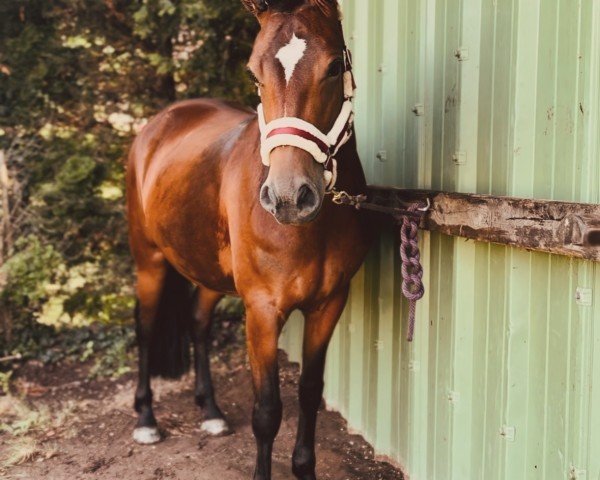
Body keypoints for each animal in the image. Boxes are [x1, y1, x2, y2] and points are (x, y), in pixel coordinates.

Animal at [125, 1, 376, 478]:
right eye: (253, 74)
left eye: (334, 67)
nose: (288, 197)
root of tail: (161, 122)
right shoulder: (261, 312)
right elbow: (267, 411)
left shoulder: (329, 304)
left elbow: (309, 393)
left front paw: (304, 468)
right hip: (149, 261)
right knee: (145, 329)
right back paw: (146, 420)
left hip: (207, 269)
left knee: (198, 322)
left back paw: (210, 412)